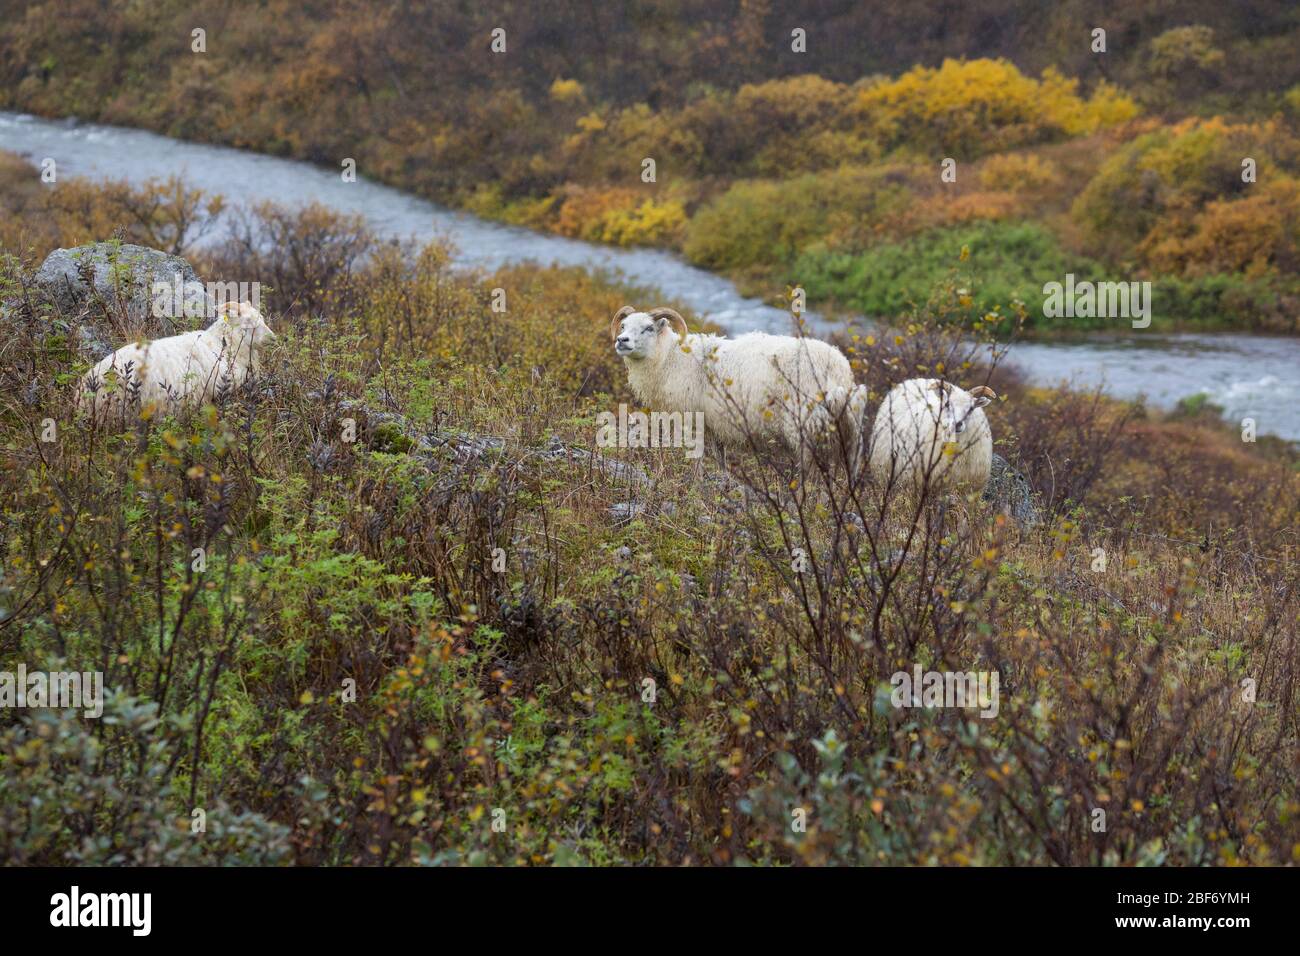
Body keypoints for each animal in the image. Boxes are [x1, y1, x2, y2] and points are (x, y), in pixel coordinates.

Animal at [613, 306, 868, 468]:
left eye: (648, 327)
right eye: (623, 325)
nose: (621, 340)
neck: (670, 357)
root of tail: (839, 368)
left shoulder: (694, 420)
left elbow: (697, 463)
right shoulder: (715, 426)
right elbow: (721, 461)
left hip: (805, 426)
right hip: (849, 429)